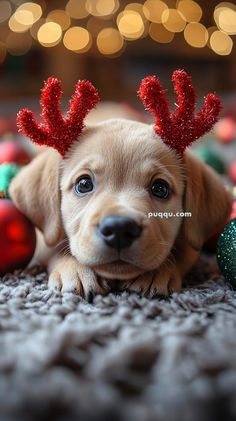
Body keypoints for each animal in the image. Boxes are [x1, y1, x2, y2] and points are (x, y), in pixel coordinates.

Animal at [8, 71, 232, 298]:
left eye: (160, 188)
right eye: (84, 184)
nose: (119, 229)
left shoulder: (191, 244)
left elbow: (179, 255)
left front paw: (156, 273)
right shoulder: (44, 237)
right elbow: (54, 248)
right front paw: (75, 270)